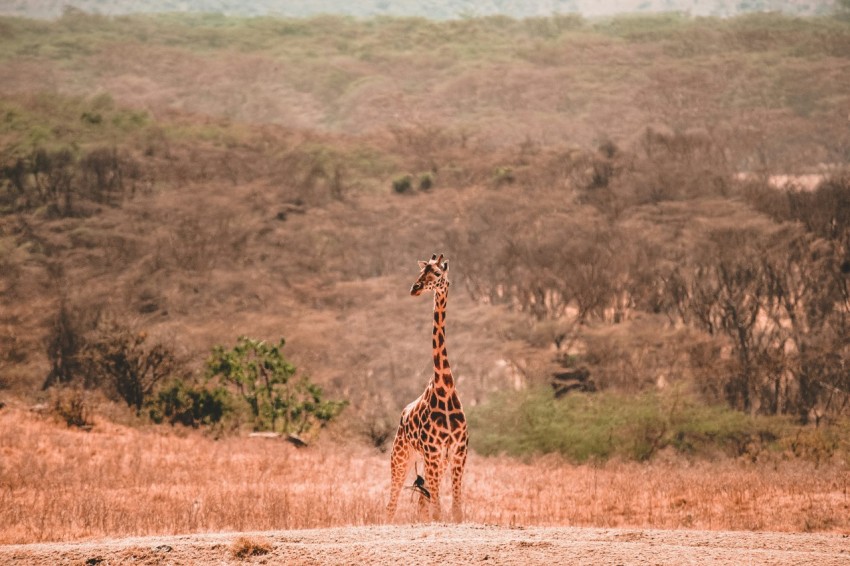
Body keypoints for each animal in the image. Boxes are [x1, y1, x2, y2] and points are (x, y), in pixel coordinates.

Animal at [386, 253, 469, 523]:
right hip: (400, 457)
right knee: (391, 504)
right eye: (422, 272)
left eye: (437, 274)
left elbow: (455, 510)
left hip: (434, 462)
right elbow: (439, 510)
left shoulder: (457, 452)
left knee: (423, 502)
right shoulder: (433, 451)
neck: (445, 388)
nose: (415, 288)